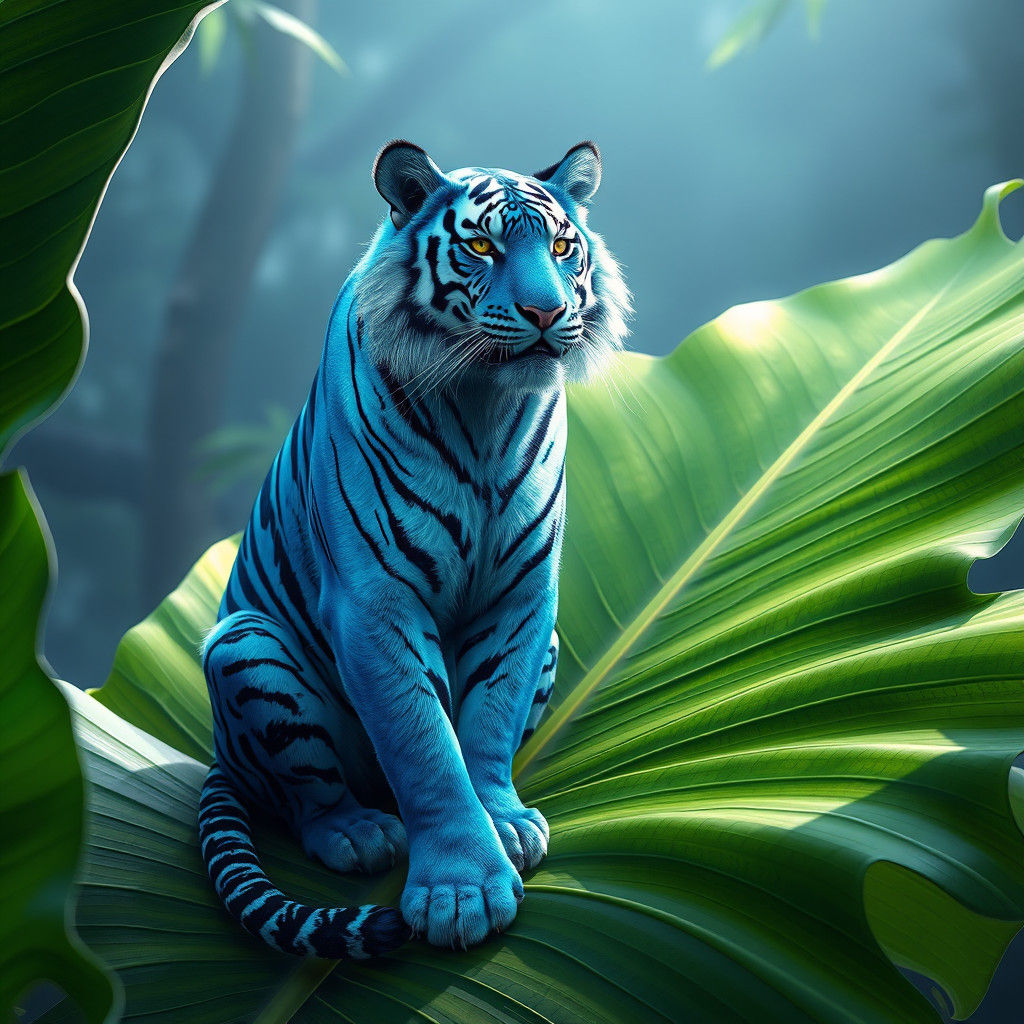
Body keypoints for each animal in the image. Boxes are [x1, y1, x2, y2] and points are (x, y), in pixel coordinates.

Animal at [198, 140, 631, 959]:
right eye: (483, 247)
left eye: (563, 248)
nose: (547, 312)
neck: (486, 407)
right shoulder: (376, 603)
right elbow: (424, 745)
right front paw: (460, 892)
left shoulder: (524, 598)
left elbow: (488, 721)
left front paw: (503, 821)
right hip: (243, 644)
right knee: (308, 801)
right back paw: (358, 833)